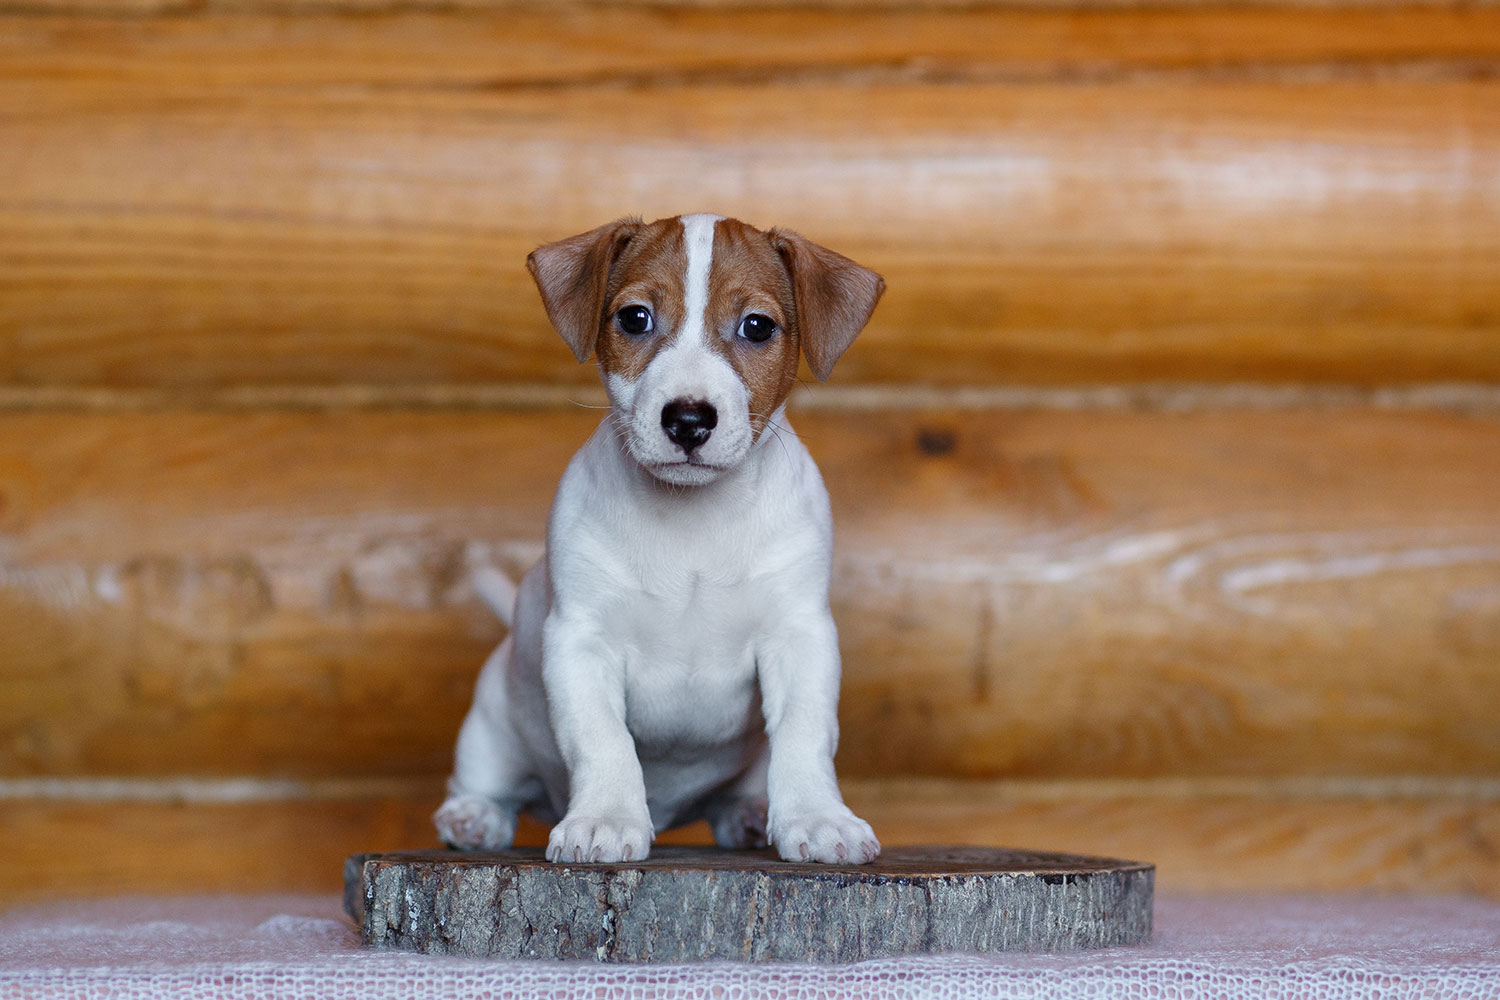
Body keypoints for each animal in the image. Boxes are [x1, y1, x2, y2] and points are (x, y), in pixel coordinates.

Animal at [432, 212, 876, 869]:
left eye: (758, 326)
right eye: (635, 318)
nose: (688, 419)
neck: (692, 522)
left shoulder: (800, 637)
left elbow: (805, 731)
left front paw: (818, 818)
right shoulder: (580, 641)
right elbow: (602, 736)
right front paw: (605, 819)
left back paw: (749, 813)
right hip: (490, 723)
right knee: (486, 784)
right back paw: (475, 817)